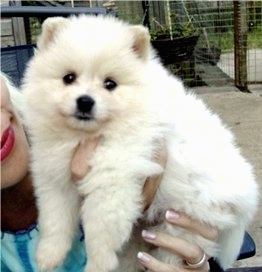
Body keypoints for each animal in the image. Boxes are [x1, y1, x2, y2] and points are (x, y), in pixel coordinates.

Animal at [22, 15, 258, 272]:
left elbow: (99, 230)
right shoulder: (56, 178)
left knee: (171, 252)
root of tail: (246, 197)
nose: (85, 101)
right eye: (68, 78)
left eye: (110, 84)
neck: (86, 135)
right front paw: (48, 256)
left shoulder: (113, 178)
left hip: (184, 220)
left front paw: (97, 264)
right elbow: (55, 220)